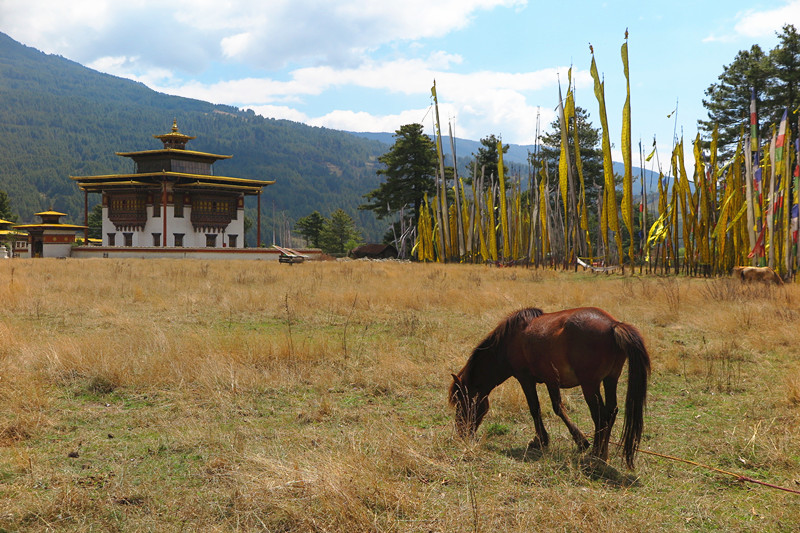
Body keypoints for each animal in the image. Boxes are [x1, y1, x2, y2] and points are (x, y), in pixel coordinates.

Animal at [450, 306, 648, 468]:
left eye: (461, 403)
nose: (462, 433)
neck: (509, 341)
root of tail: (613, 325)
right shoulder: (552, 381)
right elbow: (558, 408)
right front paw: (580, 441)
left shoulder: (525, 378)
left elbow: (534, 408)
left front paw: (541, 440)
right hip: (610, 379)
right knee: (611, 411)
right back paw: (602, 454)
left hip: (590, 385)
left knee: (601, 415)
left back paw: (597, 454)